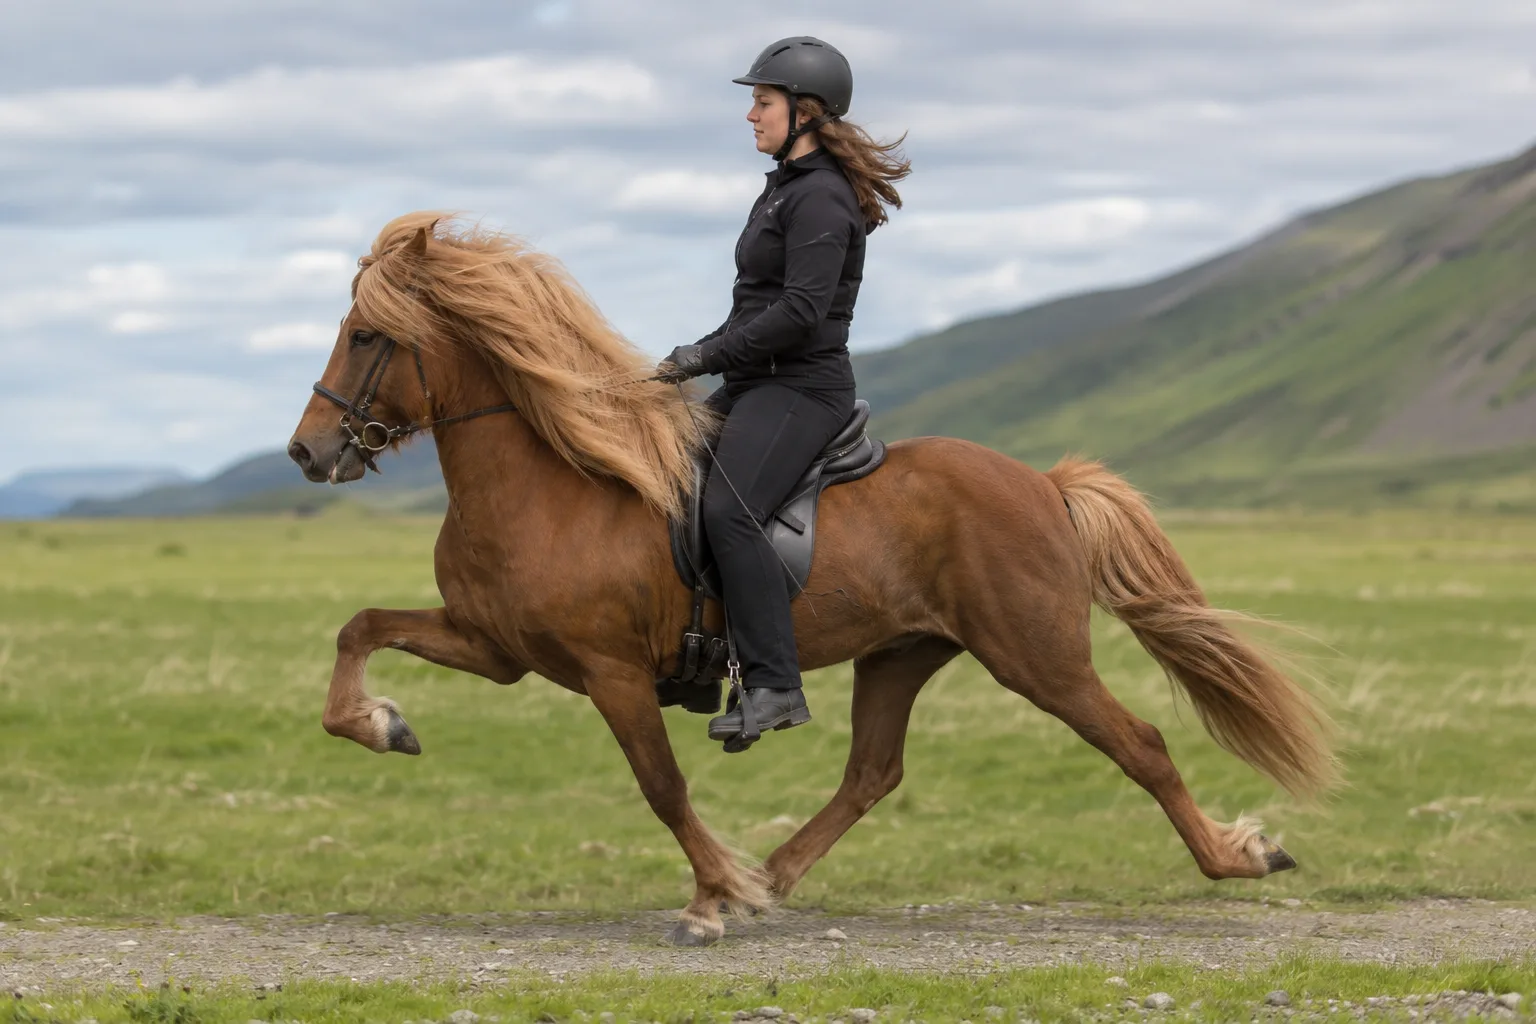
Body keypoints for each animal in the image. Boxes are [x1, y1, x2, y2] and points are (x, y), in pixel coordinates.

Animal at [286, 213, 1335, 946]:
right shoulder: (497, 648)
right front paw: (382, 726)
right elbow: (357, 626)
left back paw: (1241, 856)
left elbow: (662, 786)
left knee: (1141, 744)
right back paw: (777, 879)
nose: (308, 451)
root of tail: (1042, 482)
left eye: (368, 335)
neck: (555, 483)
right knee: (872, 772)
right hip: (904, 653)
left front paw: (711, 895)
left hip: (1037, 657)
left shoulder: (611, 674)